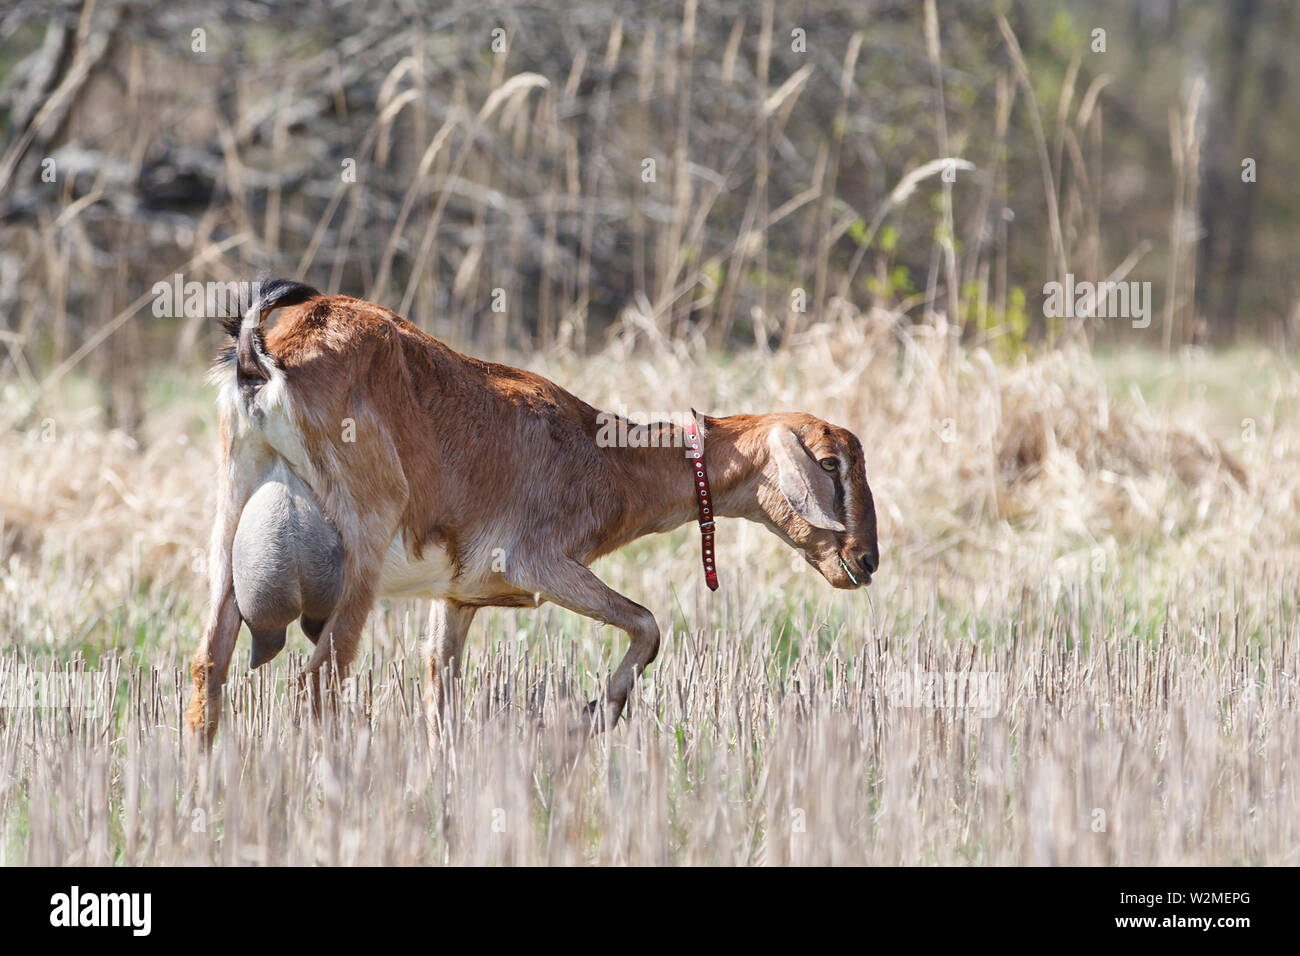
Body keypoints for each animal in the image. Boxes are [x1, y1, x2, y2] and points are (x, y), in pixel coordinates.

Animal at [185, 280, 883, 743]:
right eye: (829, 463)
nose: (865, 560)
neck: (600, 450)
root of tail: (264, 353)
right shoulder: (542, 565)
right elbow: (648, 623)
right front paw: (596, 715)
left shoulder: (458, 599)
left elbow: (441, 696)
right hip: (361, 555)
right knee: (319, 682)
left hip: (230, 530)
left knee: (208, 669)